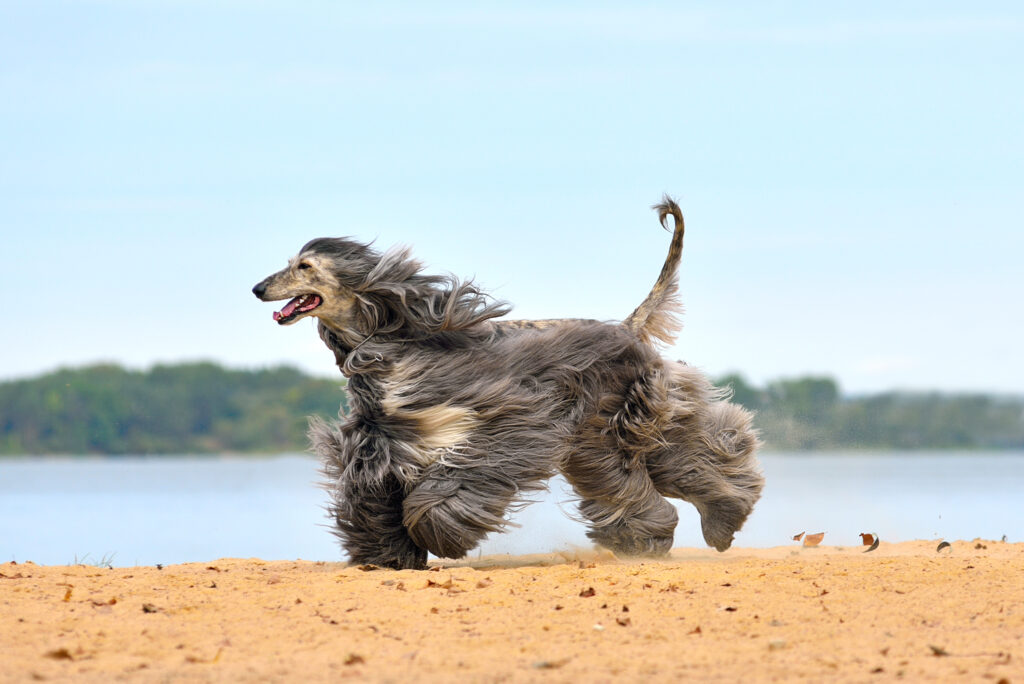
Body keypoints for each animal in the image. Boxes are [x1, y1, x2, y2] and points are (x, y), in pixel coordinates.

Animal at [252, 196, 765, 565]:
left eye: (304, 267)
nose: (258, 288)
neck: (394, 345)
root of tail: (626, 327)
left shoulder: (507, 420)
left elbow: (457, 480)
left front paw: (436, 531)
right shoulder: (380, 440)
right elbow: (372, 487)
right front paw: (388, 553)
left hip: (612, 421)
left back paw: (693, 529)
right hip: (609, 436)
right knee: (670, 465)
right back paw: (689, 529)